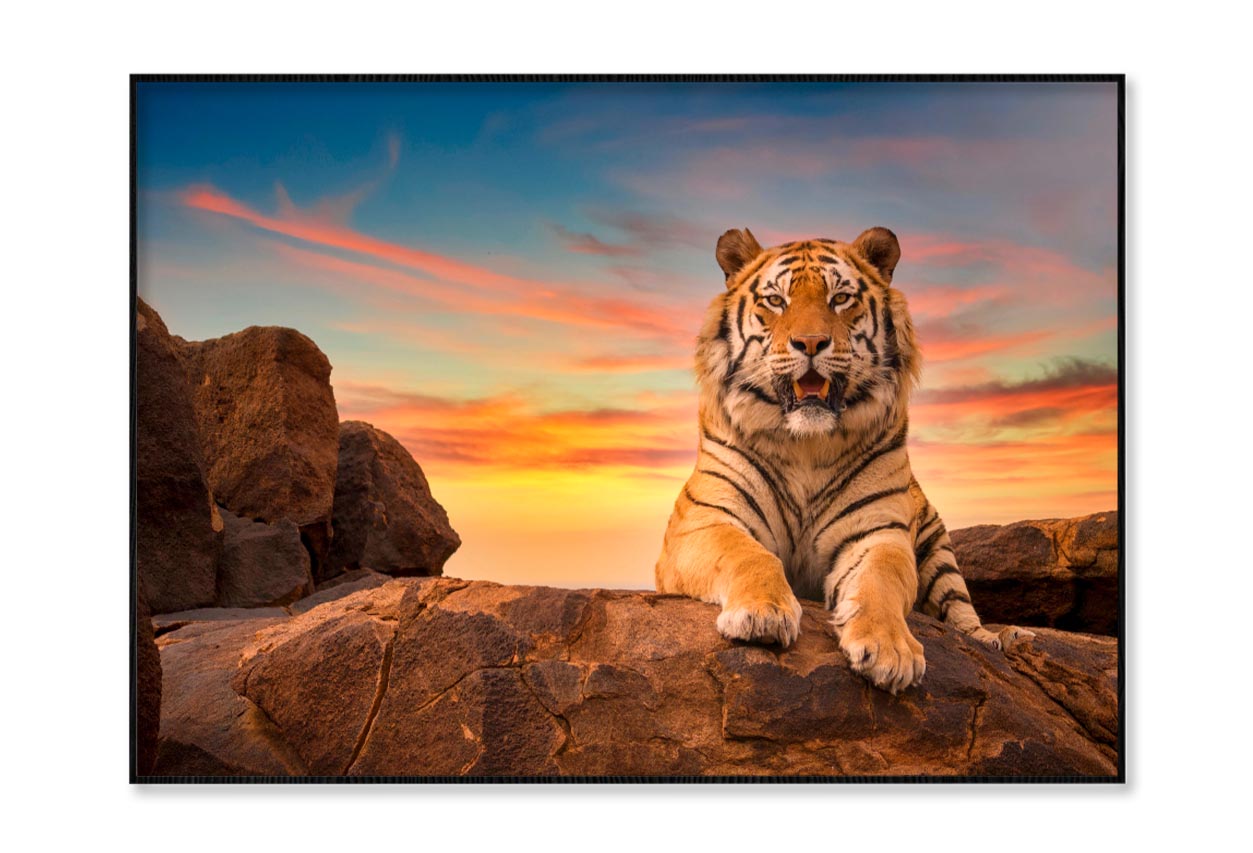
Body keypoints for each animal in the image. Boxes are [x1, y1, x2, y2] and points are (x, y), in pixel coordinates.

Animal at [655, 226, 1028, 694]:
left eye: (841, 298)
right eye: (775, 300)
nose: (811, 342)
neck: (805, 446)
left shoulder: (878, 533)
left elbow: (880, 581)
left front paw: (890, 651)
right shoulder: (704, 521)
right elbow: (749, 554)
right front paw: (762, 614)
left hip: (939, 548)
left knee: (962, 612)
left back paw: (1002, 638)